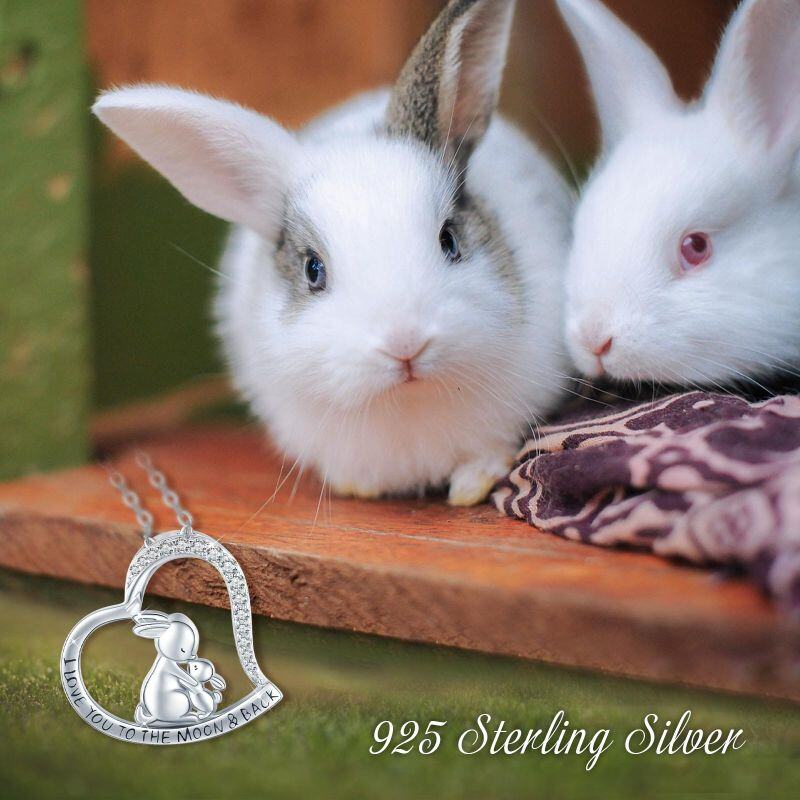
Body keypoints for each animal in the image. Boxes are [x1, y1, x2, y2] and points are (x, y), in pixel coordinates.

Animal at [91, 0, 572, 506]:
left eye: (449, 240)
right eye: (313, 269)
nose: (405, 344)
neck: (407, 404)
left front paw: (470, 487)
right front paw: (357, 485)